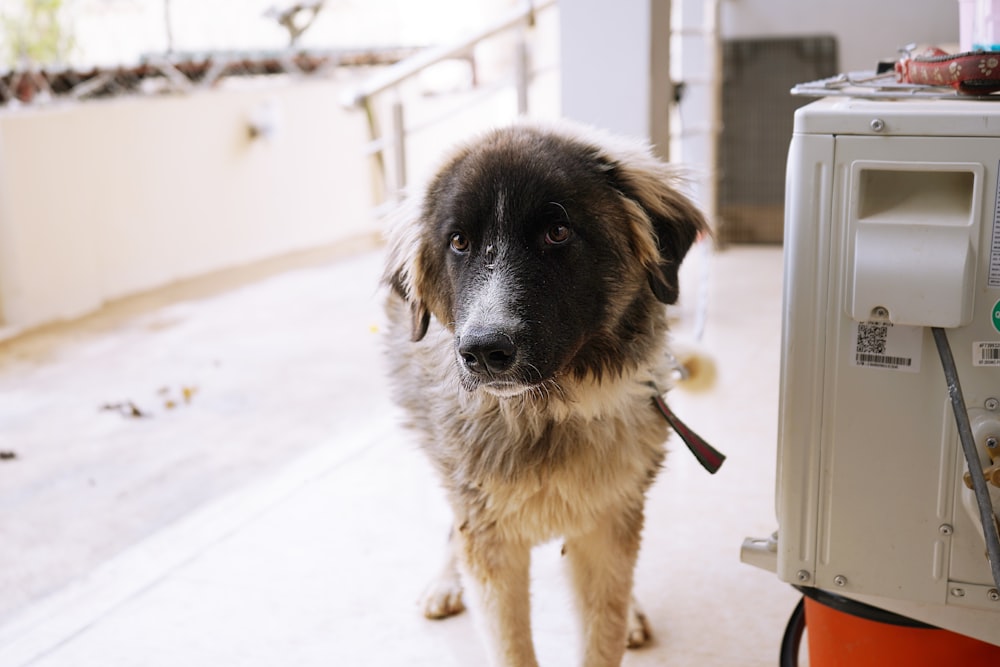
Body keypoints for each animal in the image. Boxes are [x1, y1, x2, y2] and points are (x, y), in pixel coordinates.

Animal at [380, 121, 704, 667]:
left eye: (558, 232)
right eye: (459, 242)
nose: (483, 351)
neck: (547, 412)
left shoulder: (606, 526)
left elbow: (602, 632)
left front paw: (621, 621)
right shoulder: (490, 538)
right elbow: (512, 644)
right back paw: (445, 581)